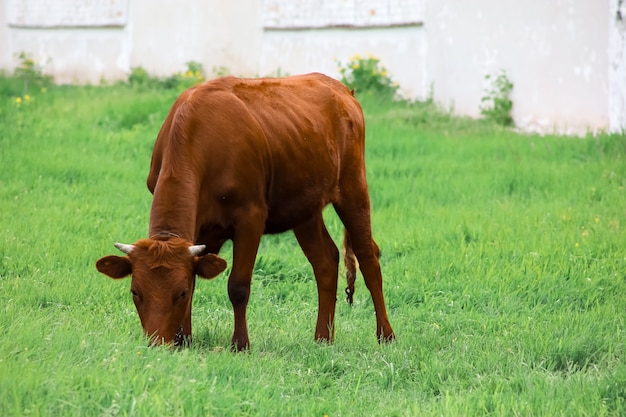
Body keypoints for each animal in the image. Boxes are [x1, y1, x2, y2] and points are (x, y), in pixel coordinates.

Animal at [94, 73, 394, 350]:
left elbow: (237, 285)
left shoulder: (251, 216)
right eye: (135, 292)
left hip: (353, 186)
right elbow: (197, 275)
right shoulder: (200, 228)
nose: (158, 343)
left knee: (368, 257)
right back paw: (322, 338)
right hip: (304, 205)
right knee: (325, 261)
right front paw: (185, 340)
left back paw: (386, 336)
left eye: (179, 294)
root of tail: (341, 89)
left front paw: (240, 344)